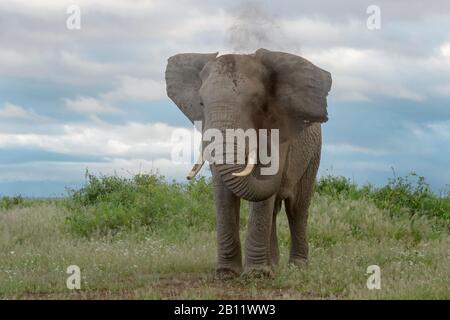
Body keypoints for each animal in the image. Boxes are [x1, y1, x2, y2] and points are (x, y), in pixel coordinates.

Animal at [165, 48, 330, 278]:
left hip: (313, 154)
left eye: (257, 103)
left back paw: (297, 268)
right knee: (274, 210)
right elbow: (223, 192)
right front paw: (226, 274)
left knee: (296, 208)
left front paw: (256, 276)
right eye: (201, 104)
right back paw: (274, 266)